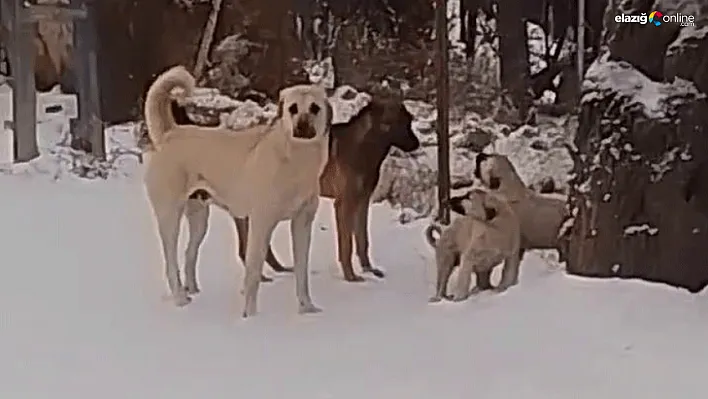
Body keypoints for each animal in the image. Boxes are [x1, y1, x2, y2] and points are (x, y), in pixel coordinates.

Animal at [144, 67, 334, 320]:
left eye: (314, 108)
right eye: (293, 108)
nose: (302, 126)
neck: (295, 161)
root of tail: (170, 133)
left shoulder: (302, 223)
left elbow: (301, 272)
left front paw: (307, 309)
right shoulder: (261, 223)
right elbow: (253, 272)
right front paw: (249, 317)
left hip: (199, 217)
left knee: (189, 253)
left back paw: (192, 289)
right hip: (169, 216)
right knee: (171, 261)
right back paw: (180, 298)